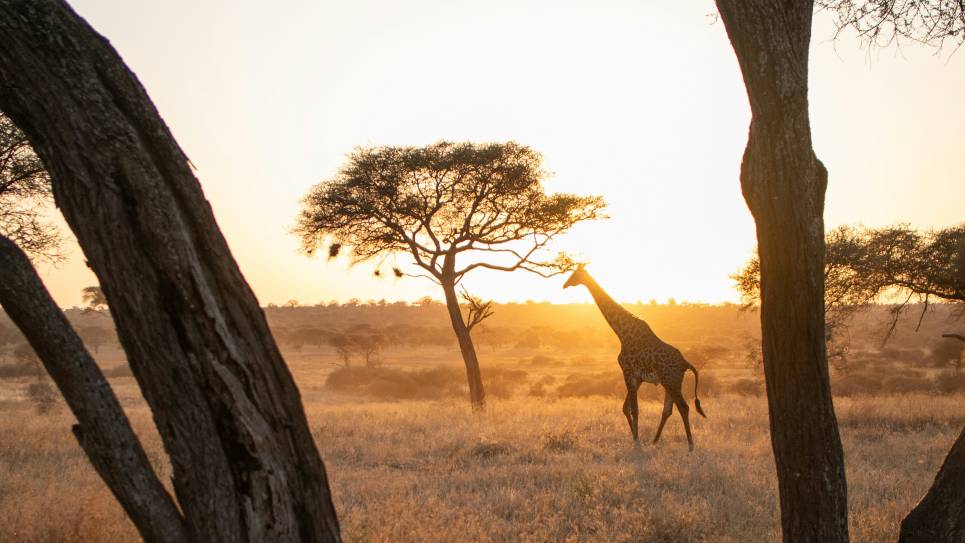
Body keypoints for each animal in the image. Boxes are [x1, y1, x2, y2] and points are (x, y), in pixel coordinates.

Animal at [563, 264, 706, 451]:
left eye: (574, 274)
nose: (565, 285)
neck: (622, 333)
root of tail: (685, 363)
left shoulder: (627, 372)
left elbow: (634, 409)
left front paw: (636, 441)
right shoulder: (637, 377)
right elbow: (626, 408)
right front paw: (635, 438)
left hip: (671, 381)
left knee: (683, 407)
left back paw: (690, 445)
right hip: (670, 382)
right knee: (668, 410)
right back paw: (654, 441)